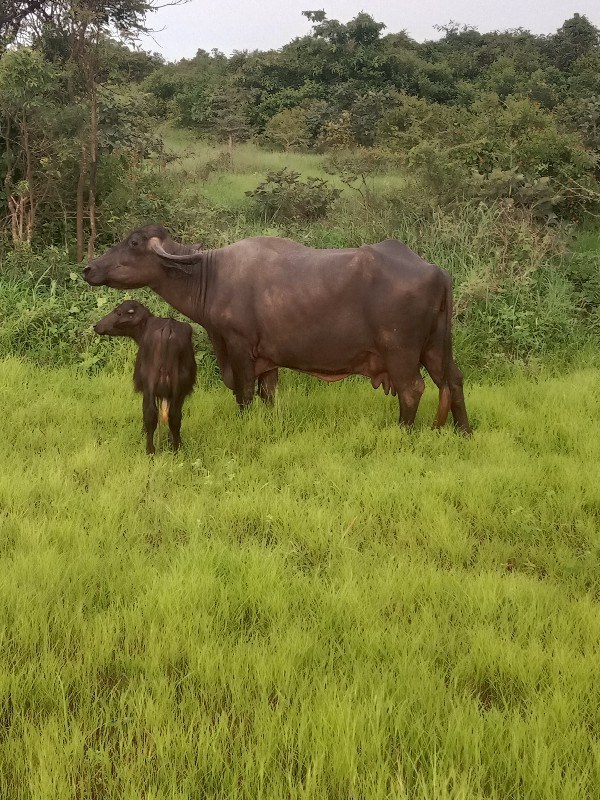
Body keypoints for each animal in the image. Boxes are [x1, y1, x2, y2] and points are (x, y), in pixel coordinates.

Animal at [83, 225, 468, 434]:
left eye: (134, 243)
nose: (88, 268)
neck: (210, 275)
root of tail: (435, 270)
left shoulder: (238, 347)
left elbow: (243, 393)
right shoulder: (267, 360)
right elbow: (268, 394)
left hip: (400, 350)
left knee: (412, 389)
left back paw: (404, 431)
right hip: (435, 347)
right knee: (453, 380)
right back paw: (463, 430)